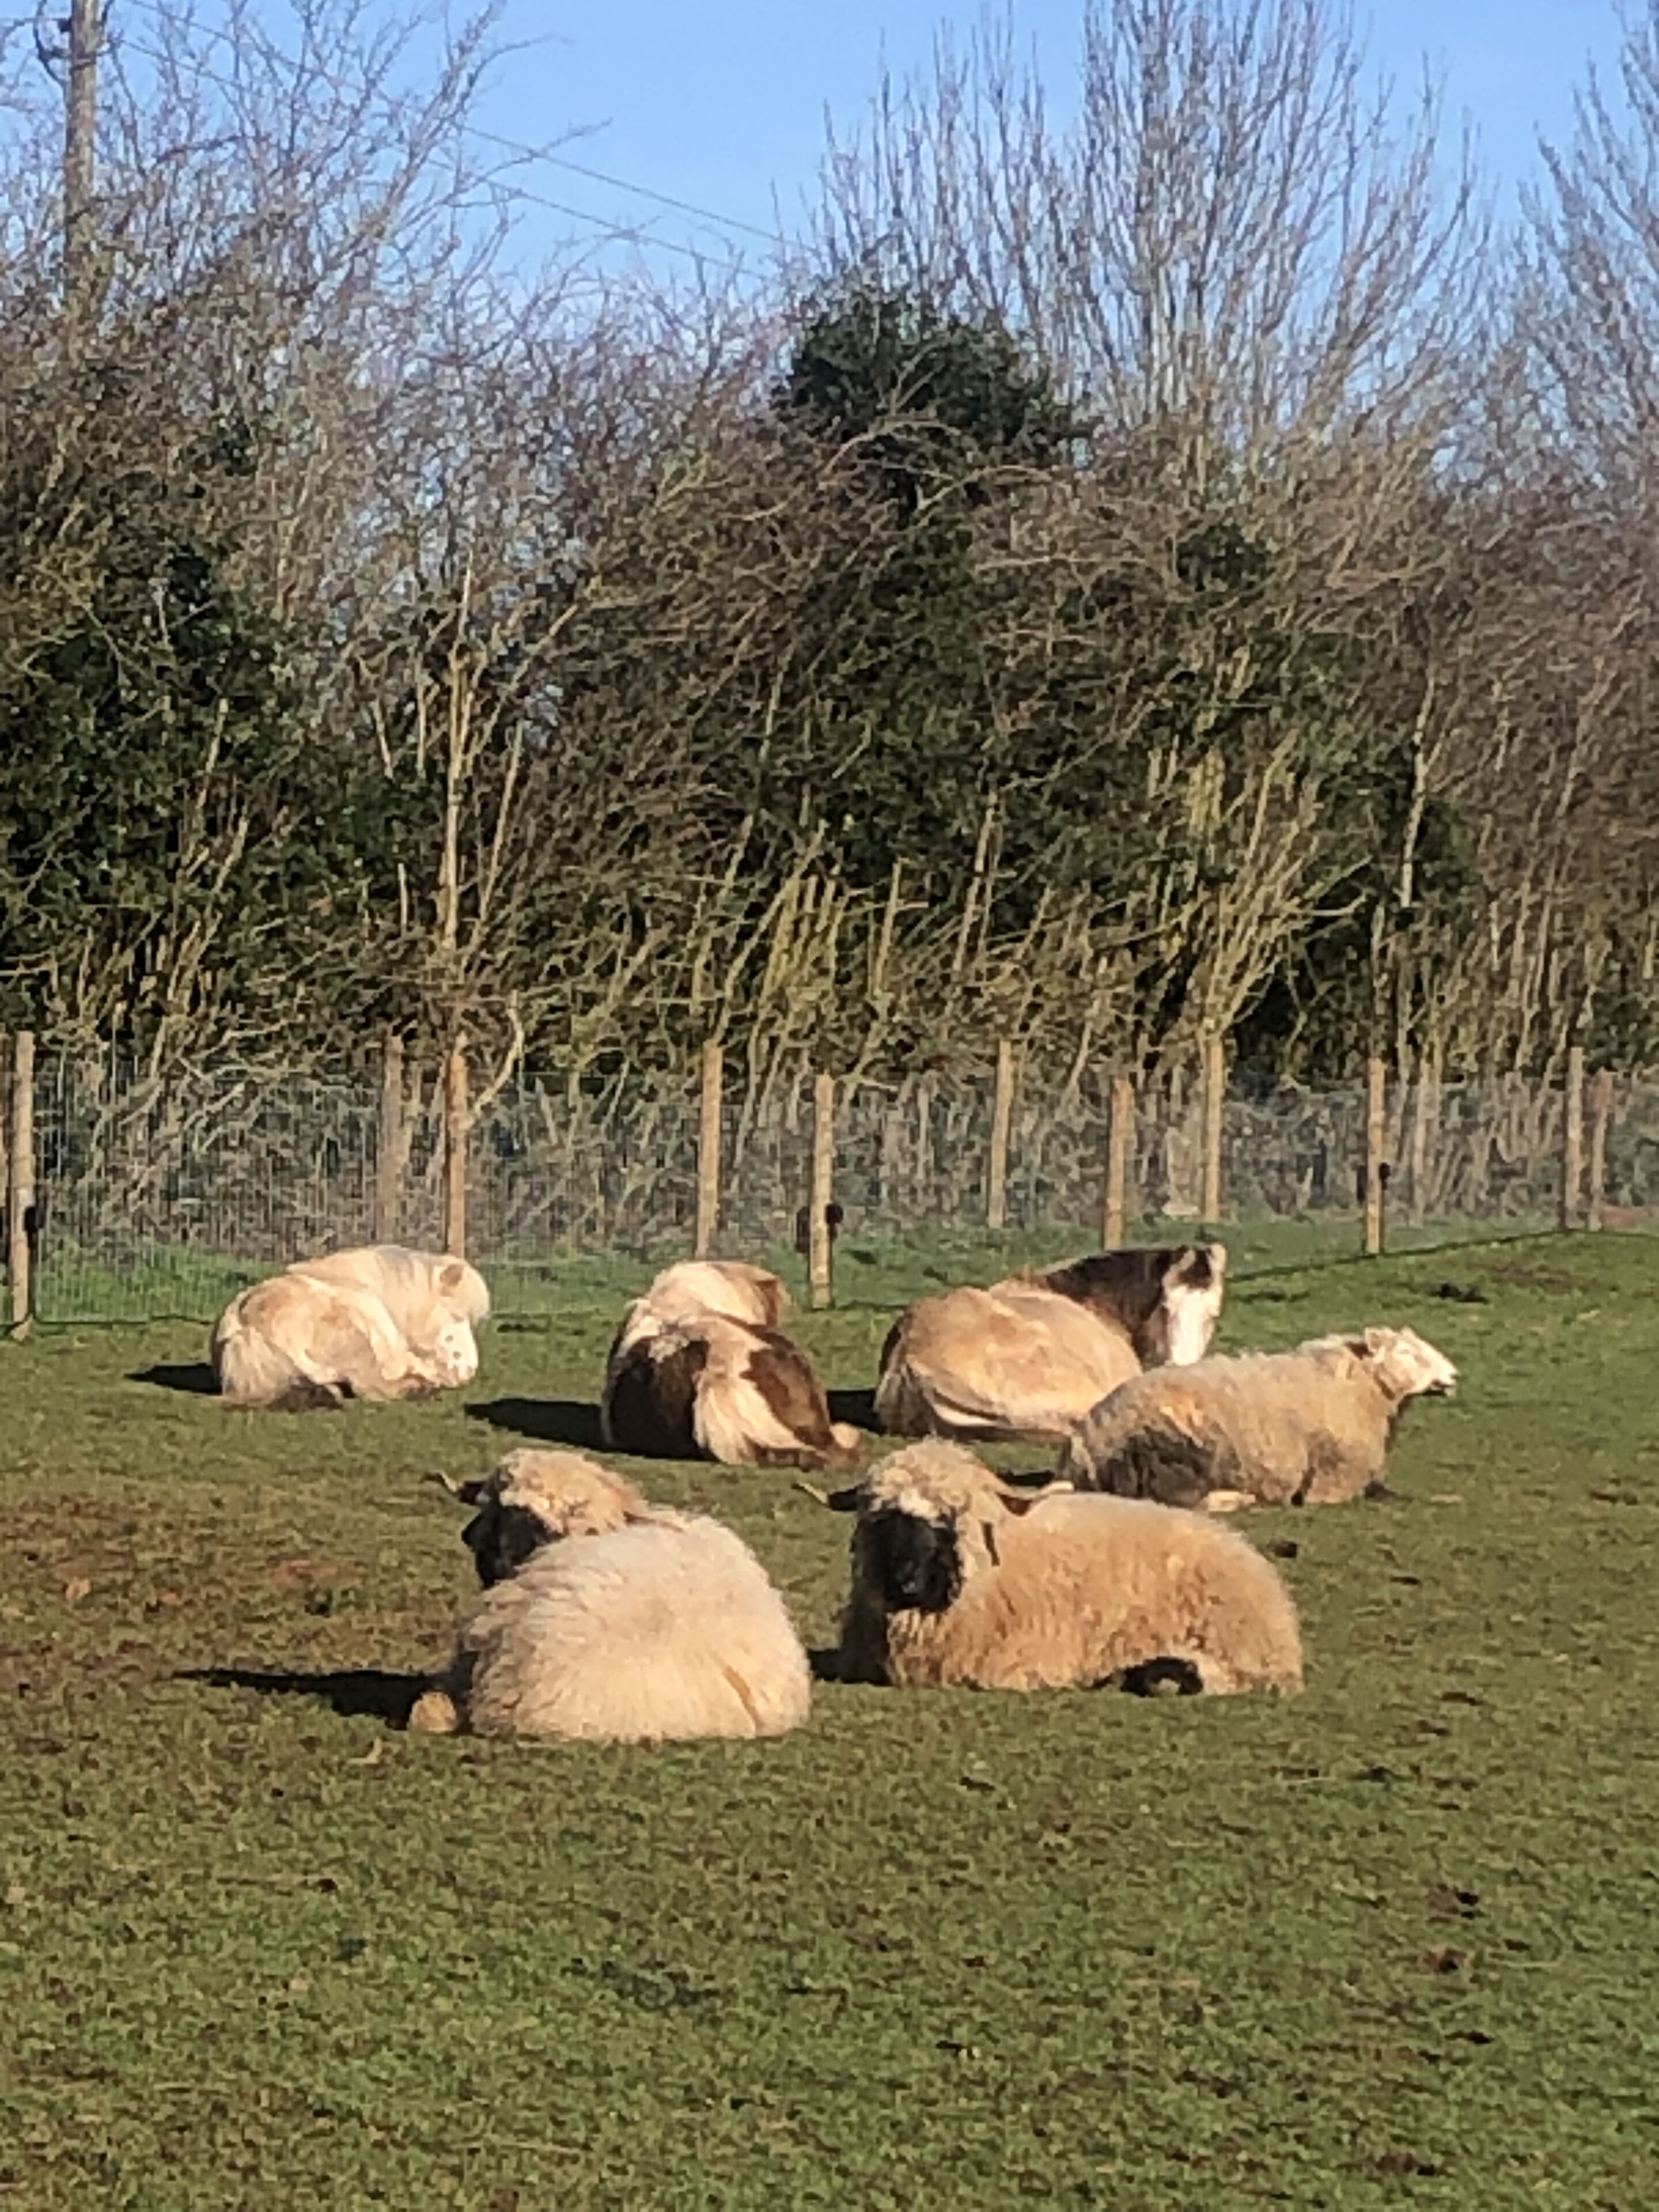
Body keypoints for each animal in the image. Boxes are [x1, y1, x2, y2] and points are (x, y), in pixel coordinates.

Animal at [1060, 1326, 1459, 1512]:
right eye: (1406, 1352)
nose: (1454, 1376)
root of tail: (1086, 1446)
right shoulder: (1334, 1480)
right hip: (1179, 1452)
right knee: (1179, 1502)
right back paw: (1240, 1499)